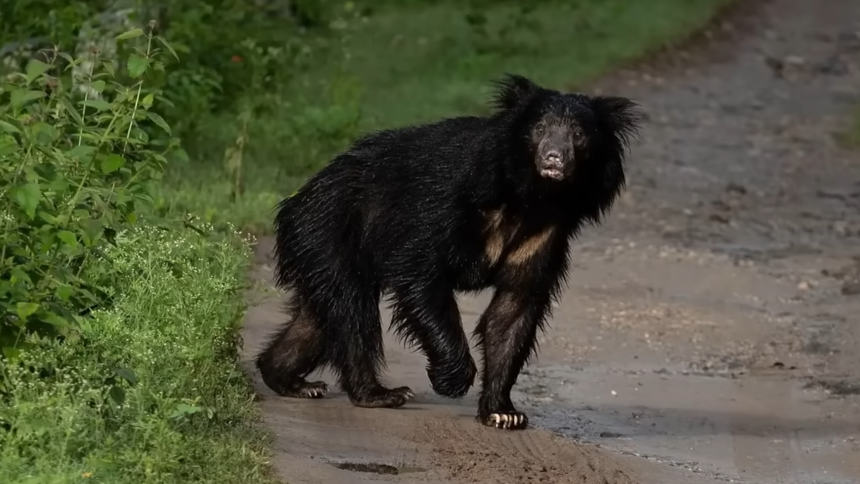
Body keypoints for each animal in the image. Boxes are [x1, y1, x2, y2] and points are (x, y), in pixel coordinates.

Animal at [255, 73, 646, 430]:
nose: (554, 159)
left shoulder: (546, 235)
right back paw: (379, 394)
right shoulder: (447, 205)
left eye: (579, 135)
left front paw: (503, 413)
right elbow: (422, 275)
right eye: (539, 129)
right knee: (351, 311)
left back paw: (289, 380)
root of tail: (296, 201)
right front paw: (451, 380)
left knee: (319, 319)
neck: (532, 197)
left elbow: (514, 310)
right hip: (330, 232)